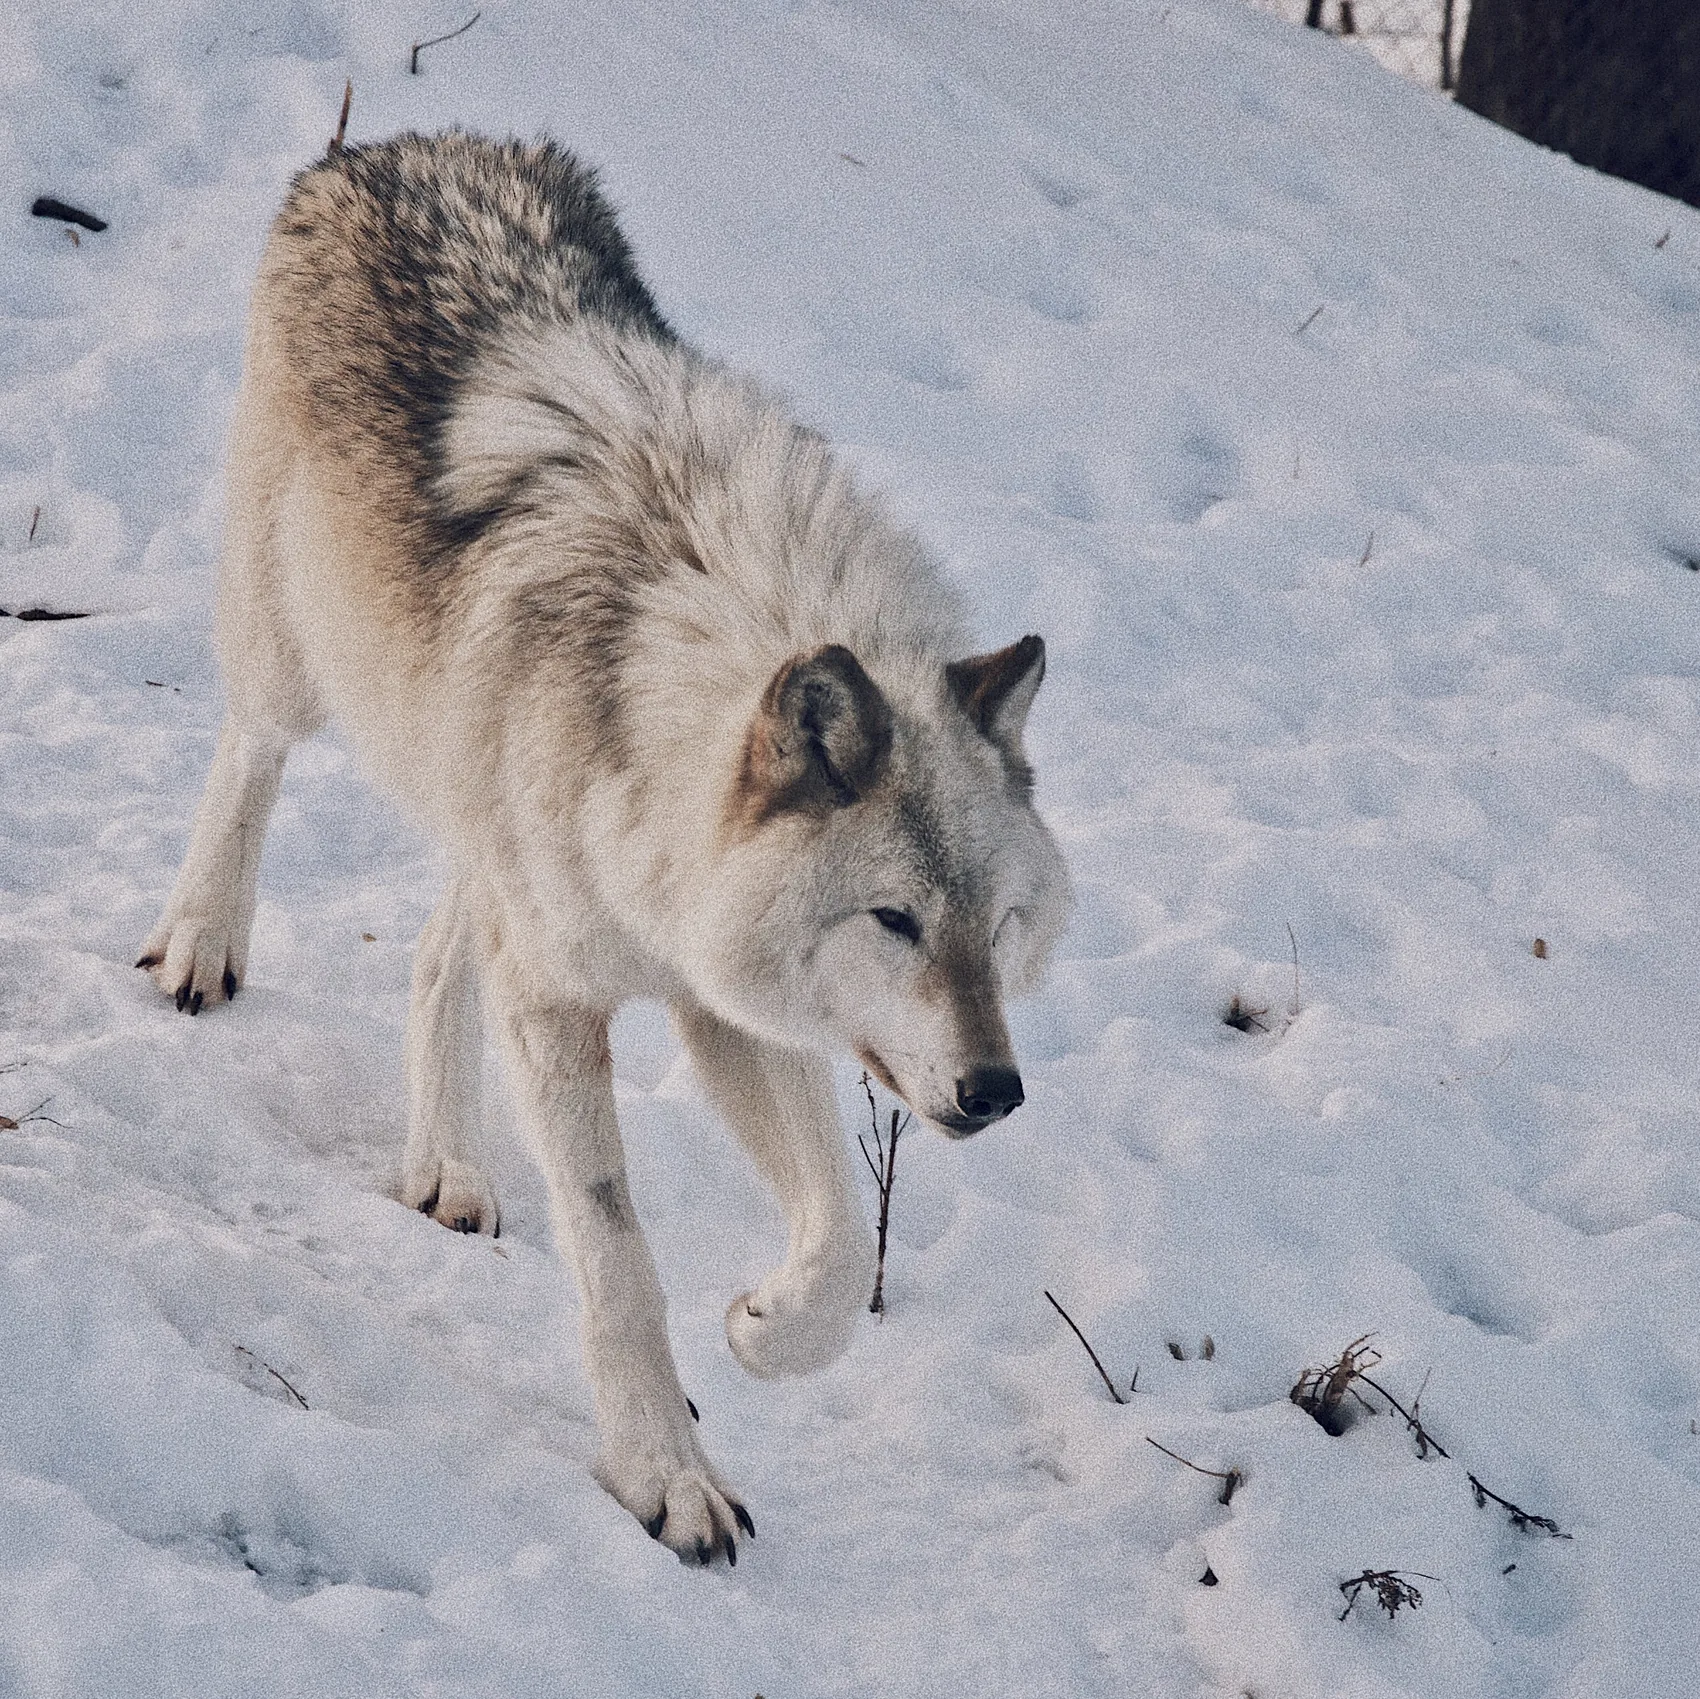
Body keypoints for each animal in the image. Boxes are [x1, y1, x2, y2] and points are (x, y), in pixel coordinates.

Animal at [140, 132, 1071, 1563]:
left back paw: (449, 1165)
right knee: (250, 754)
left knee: (437, 953)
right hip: (299, 648)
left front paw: (759, 1327)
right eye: (896, 921)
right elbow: (618, 1257)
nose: (994, 1090)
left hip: (476, 793)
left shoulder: (720, 1001)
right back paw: (200, 941)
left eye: (998, 926)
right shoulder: (564, 997)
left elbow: (841, 1237)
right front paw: (668, 1478)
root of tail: (396, 146)